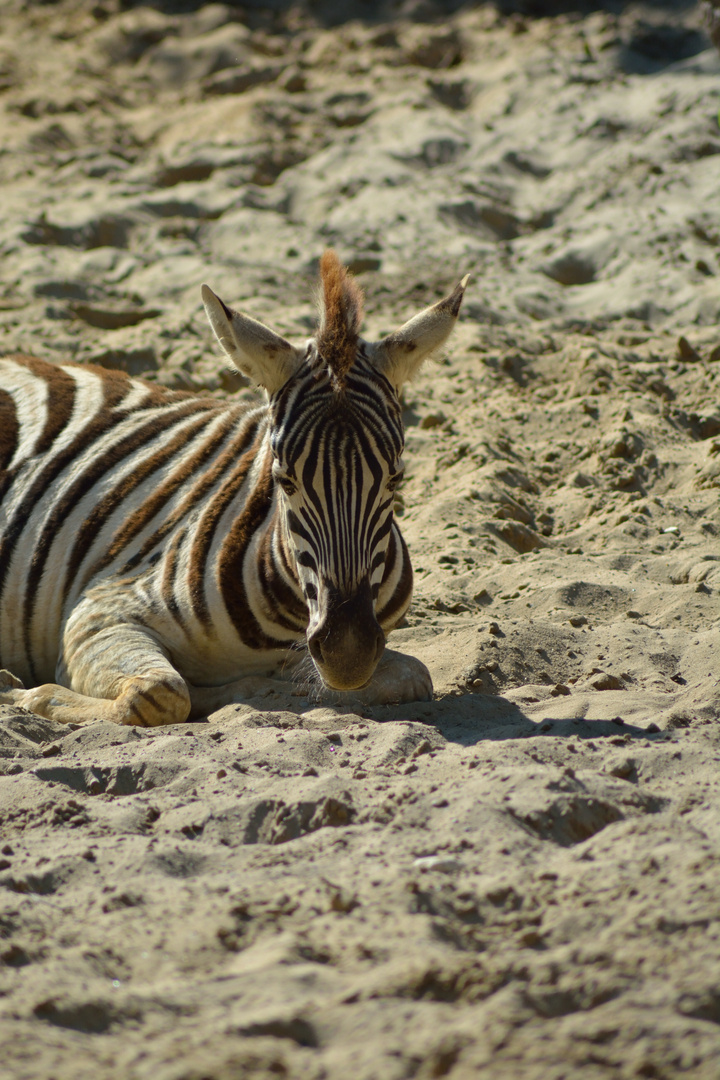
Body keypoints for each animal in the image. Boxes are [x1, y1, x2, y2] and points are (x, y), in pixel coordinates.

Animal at [0, 251, 468, 725]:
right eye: (284, 480)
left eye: (396, 478)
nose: (347, 655)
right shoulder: (102, 610)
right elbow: (159, 693)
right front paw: (24, 695)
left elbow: (413, 676)